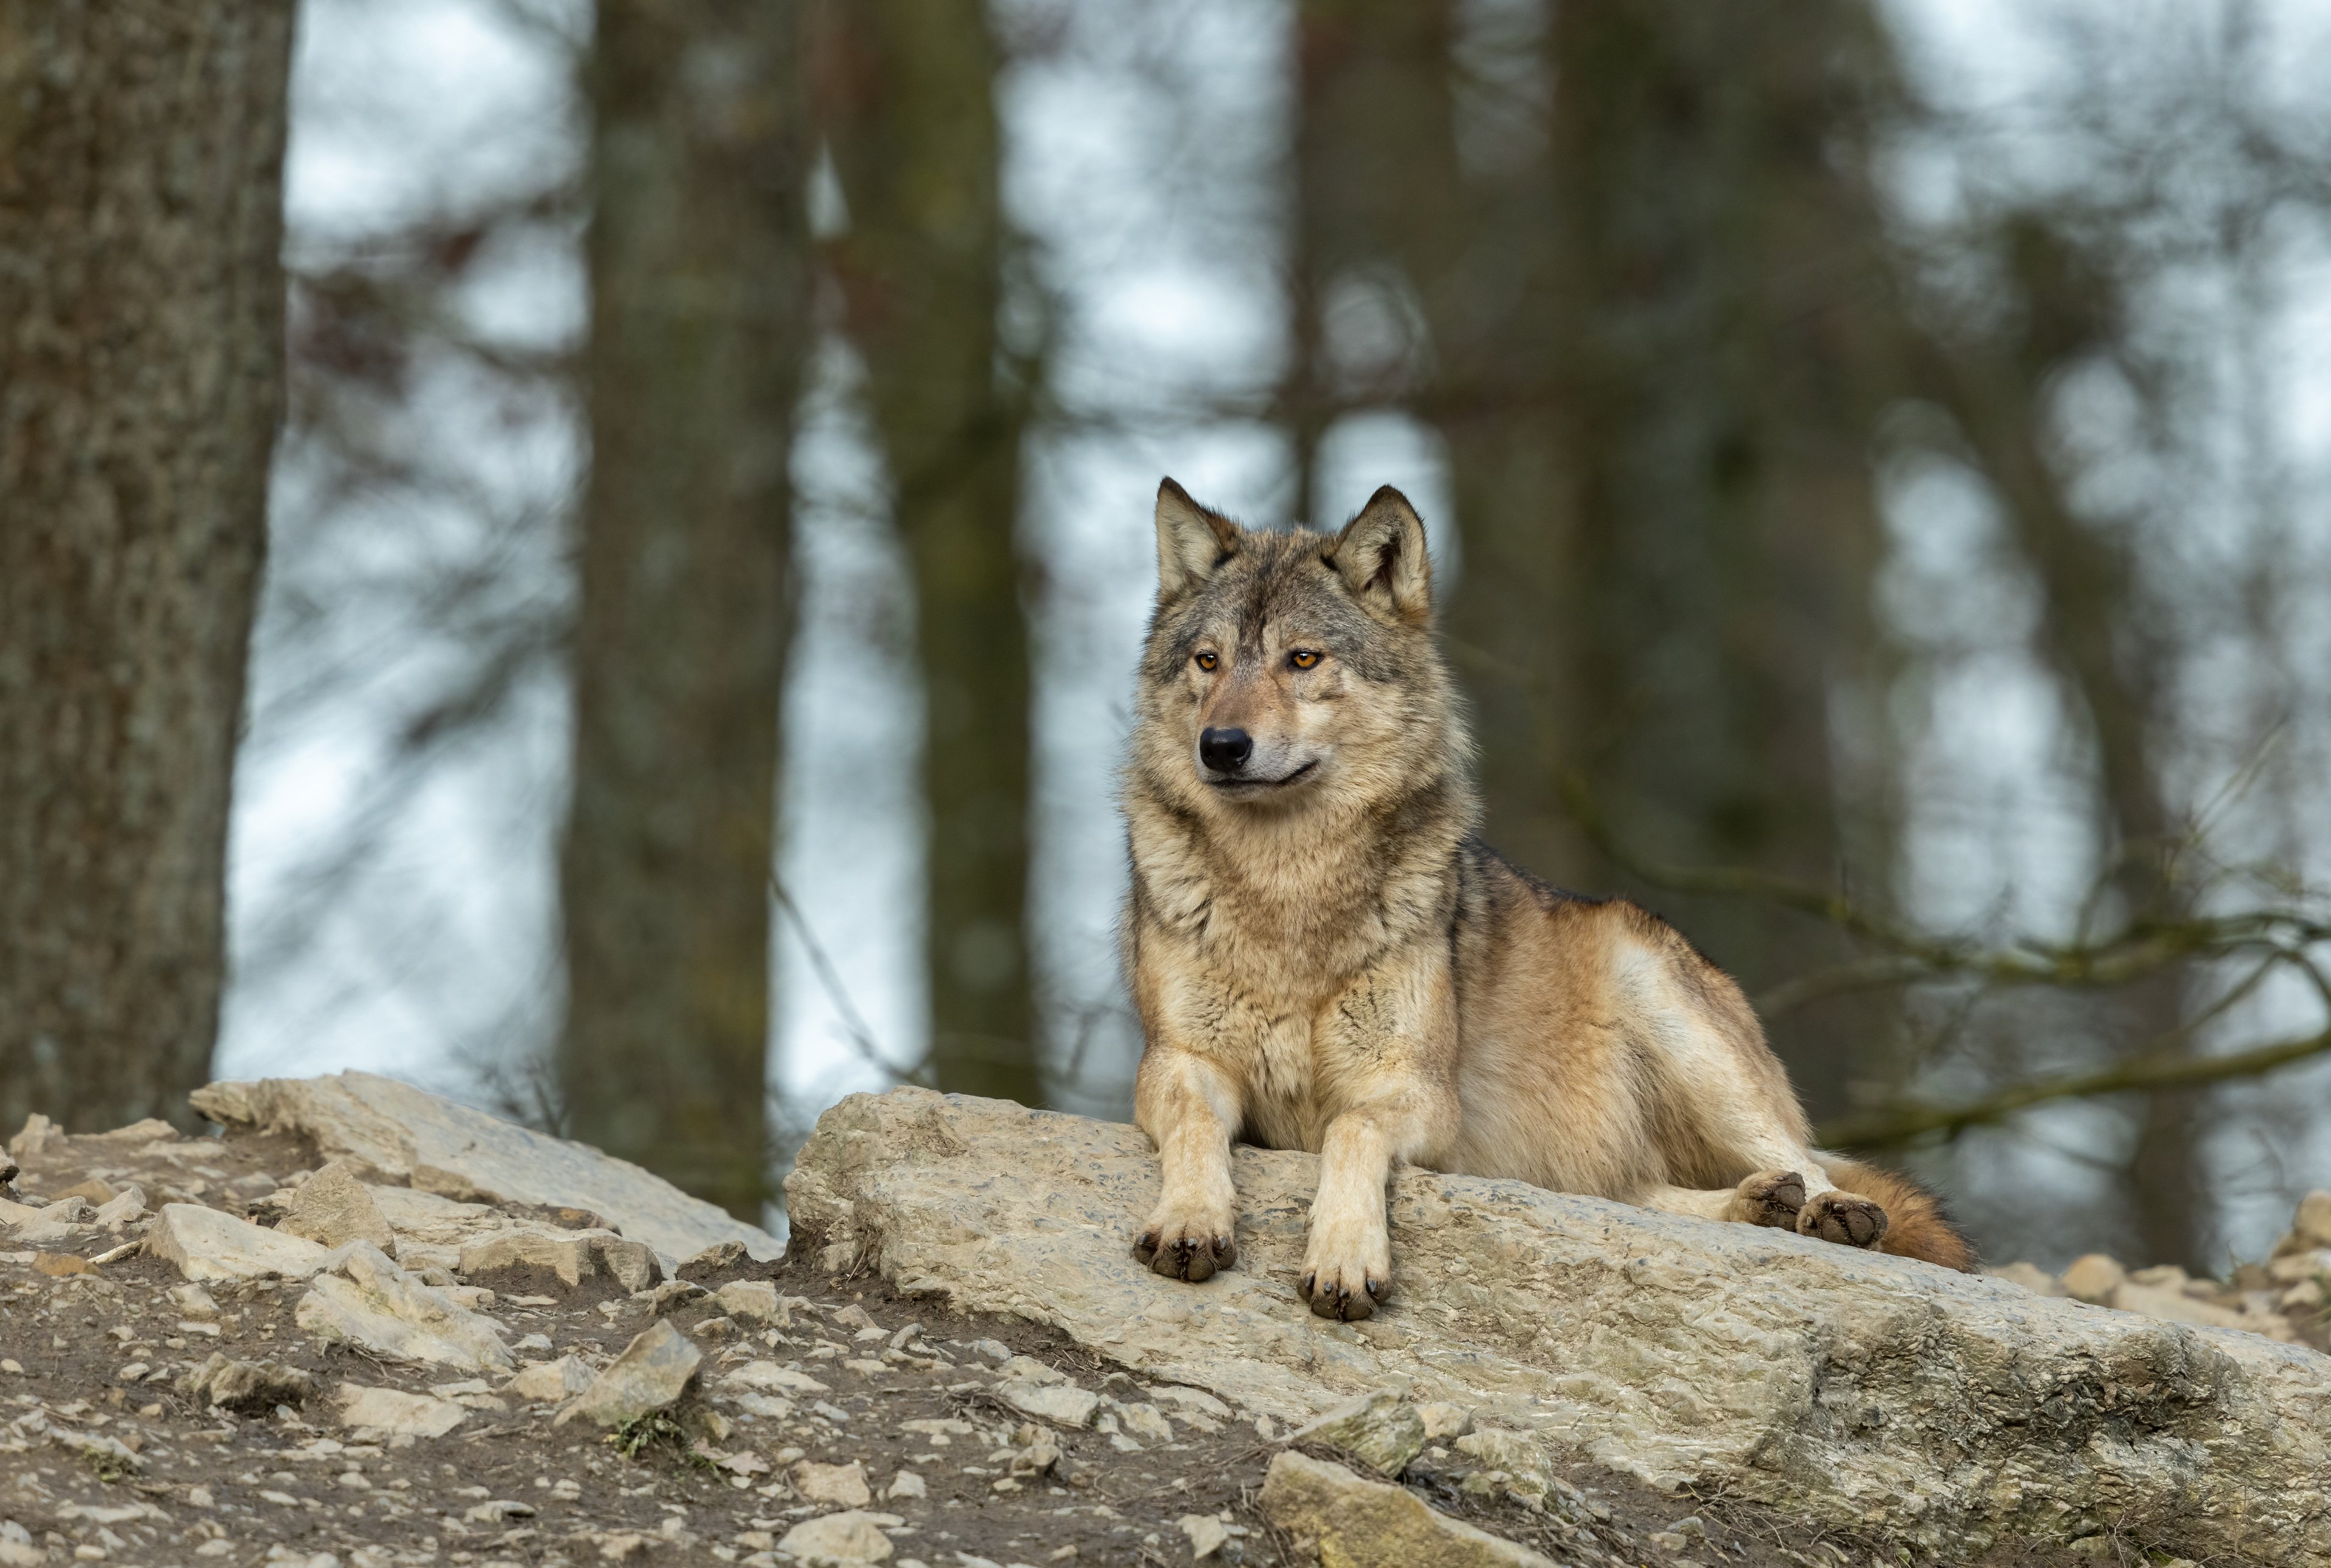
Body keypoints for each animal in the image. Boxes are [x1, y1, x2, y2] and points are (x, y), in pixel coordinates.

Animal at [1122, 478, 1972, 1320]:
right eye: (1208, 661)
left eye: (1302, 658)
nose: (1221, 747)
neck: (1288, 891)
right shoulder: (1178, 1064)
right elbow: (1196, 1124)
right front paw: (1189, 1221)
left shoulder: (1415, 1091)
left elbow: (1352, 1129)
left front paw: (1344, 1257)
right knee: (1641, 1196)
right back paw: (1761, 1205)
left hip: (1675, 1019)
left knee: (1810, 1165)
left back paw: (1828, 1212)